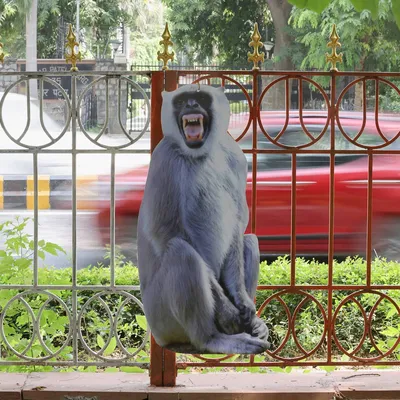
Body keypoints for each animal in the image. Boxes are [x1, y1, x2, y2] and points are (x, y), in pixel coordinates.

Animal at [136, 83, 270, 354]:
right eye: (182, 100)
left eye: (199, 97)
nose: (191, 105)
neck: (198, 154)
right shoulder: (164, 157)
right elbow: (165, 232)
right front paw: (228, 311)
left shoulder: (235, 155)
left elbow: (238, 223)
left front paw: (242, 301)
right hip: (160, 318)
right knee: (181, 252)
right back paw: (212, 338)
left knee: (250, 241)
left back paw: (252, 324)